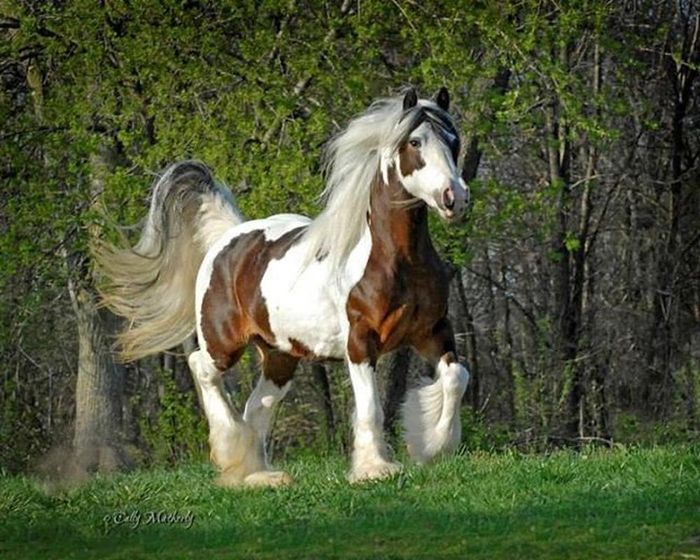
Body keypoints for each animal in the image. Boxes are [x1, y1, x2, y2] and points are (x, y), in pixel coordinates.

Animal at [95, 87, 470, 486]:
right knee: (203, 368)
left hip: (280, 357)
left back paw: (259, 475)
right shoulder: (360, 342)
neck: (396, 261)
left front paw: (433, 447)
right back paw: (232, 453)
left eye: (453, 140)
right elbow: (370, 406)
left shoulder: (432, 331)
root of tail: (229, 237)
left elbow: (456, 378)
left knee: (256, 407)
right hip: (223, 342)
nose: (454, 198)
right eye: (415, 142)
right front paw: (375, 469)